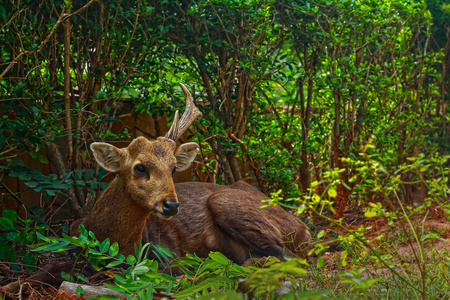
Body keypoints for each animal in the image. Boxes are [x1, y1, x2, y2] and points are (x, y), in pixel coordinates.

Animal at [0, 83, 310, 296]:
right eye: (139, 167)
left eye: (173, 168)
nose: (171, 205)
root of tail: (305, 227)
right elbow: (46, 269)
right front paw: (11, 286)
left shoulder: (166, 258)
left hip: (228, 202)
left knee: (291, 258)